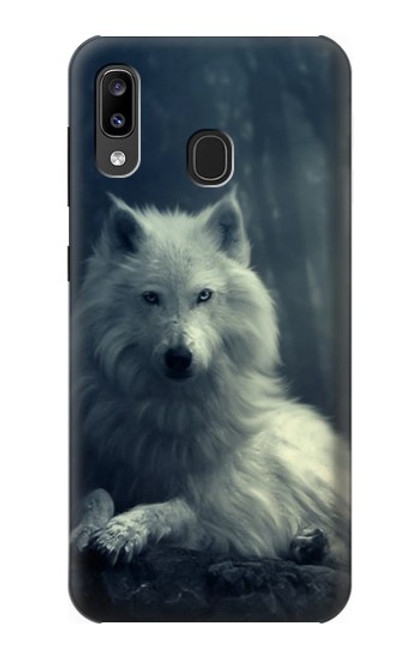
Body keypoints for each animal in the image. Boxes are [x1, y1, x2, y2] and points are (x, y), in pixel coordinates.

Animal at [71, 190, 349, 566]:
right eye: (151, 297)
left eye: (204, 295)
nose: (178, 358)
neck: (171, 411)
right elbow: (97, 494)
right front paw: (86, 530)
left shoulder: (232, 513)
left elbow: (174, 508)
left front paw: (122, 532)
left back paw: (313, 542)